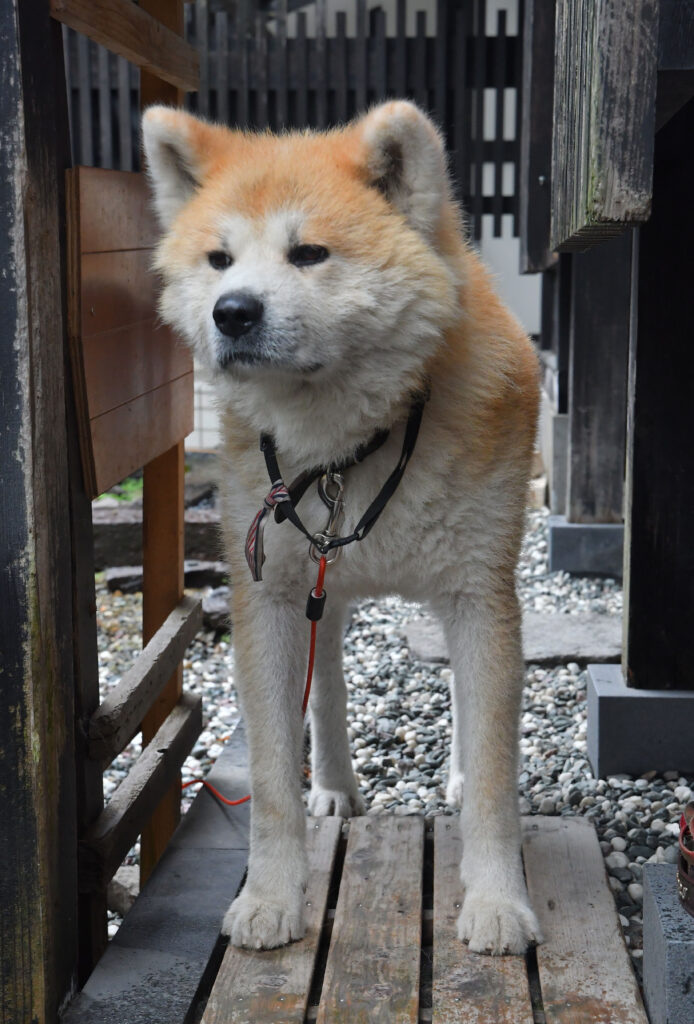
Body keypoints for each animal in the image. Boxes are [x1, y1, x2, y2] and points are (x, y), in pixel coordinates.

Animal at [142, 99, 544, 954]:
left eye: (309, 254)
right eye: (219, 260)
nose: (234, 312)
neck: (348, 449)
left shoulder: (481, 596)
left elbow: (495, 765)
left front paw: (497, 898)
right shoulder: (267, 598)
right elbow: (270, 775)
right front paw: (271, 895)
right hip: (320, 591)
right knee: (325, 691)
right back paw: (333, 783)